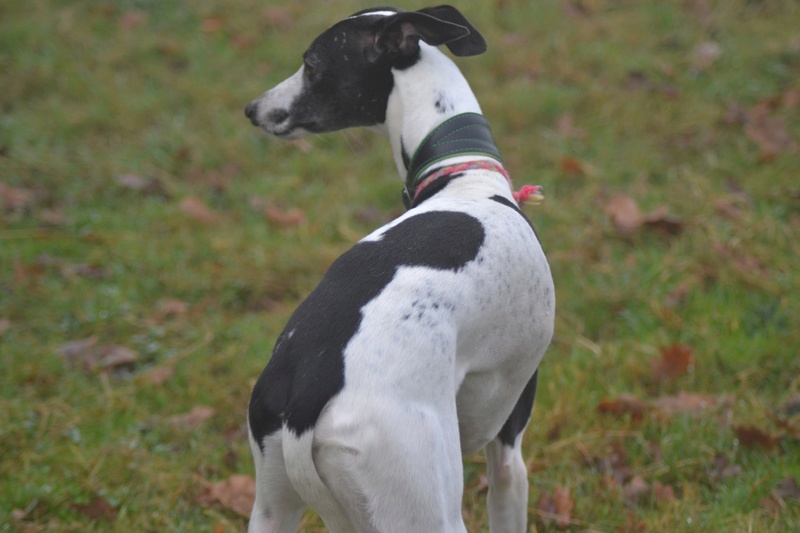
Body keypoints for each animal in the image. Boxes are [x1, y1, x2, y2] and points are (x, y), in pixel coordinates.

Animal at [245, 5, 556, 532]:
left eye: (311, 65)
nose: (253, 108)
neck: (465, 178)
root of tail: (309, 390)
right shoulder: (508, 443)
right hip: (426, 504)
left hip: (272, 506)